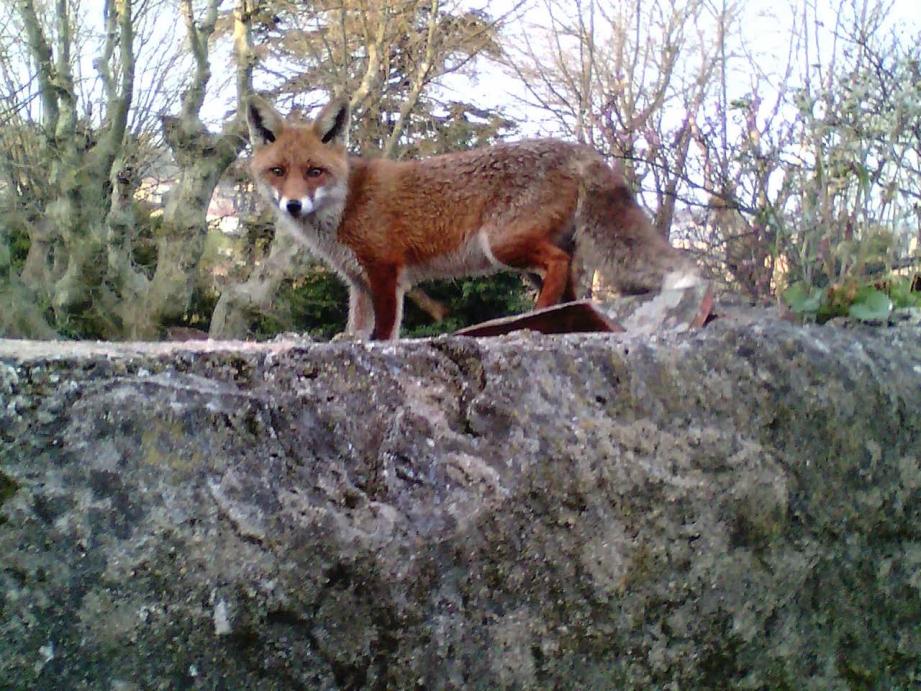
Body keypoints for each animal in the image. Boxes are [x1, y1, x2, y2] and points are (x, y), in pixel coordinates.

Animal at [244, 93, 696, 342]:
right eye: (278, 171)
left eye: (314, 172)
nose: (293, 205)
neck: (347, 204)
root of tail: (579, 149)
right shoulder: (357, 281)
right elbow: (357, 325)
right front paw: (349, 341)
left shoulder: (386, 272)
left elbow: (385, 329)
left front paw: (375, 345)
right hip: (524, 256)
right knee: (572, 285)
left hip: (503, 245)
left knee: (559, 264)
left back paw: (528, 319)